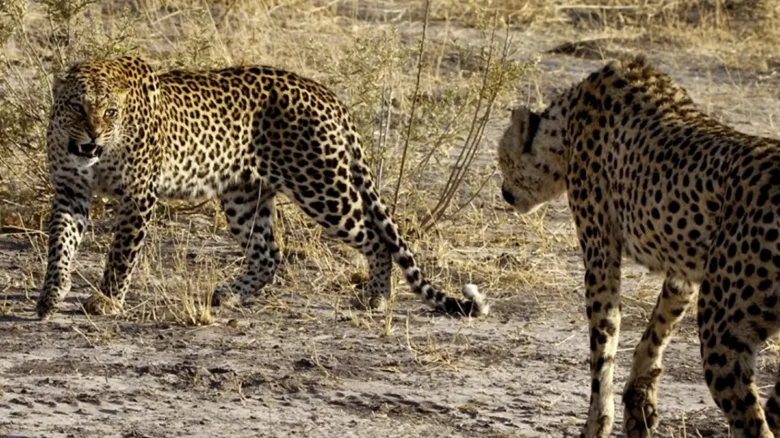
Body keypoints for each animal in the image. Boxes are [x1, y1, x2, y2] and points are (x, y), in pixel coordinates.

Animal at [35, 55, 488, 321]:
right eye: (78, 107)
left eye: (110, 112)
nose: (93, 136)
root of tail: (325, 93)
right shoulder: (71, 192)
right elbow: (60, 245)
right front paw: (51, 296)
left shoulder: (137, 196)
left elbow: (120, 255)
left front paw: (106, 301)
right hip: (243, 196)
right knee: (270, 253)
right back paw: (231, 296)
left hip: (323, 187)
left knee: (376, 239)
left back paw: (376, 298)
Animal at [498, 54, 780, 438]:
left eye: (502, 158)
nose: (503, 192)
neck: (566, 123)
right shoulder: (684, 272)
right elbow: (659, 324)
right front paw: (640, 402)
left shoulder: (600, 252)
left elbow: (604, 339)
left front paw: (597, 422)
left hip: (722, 326)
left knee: (752, 422)